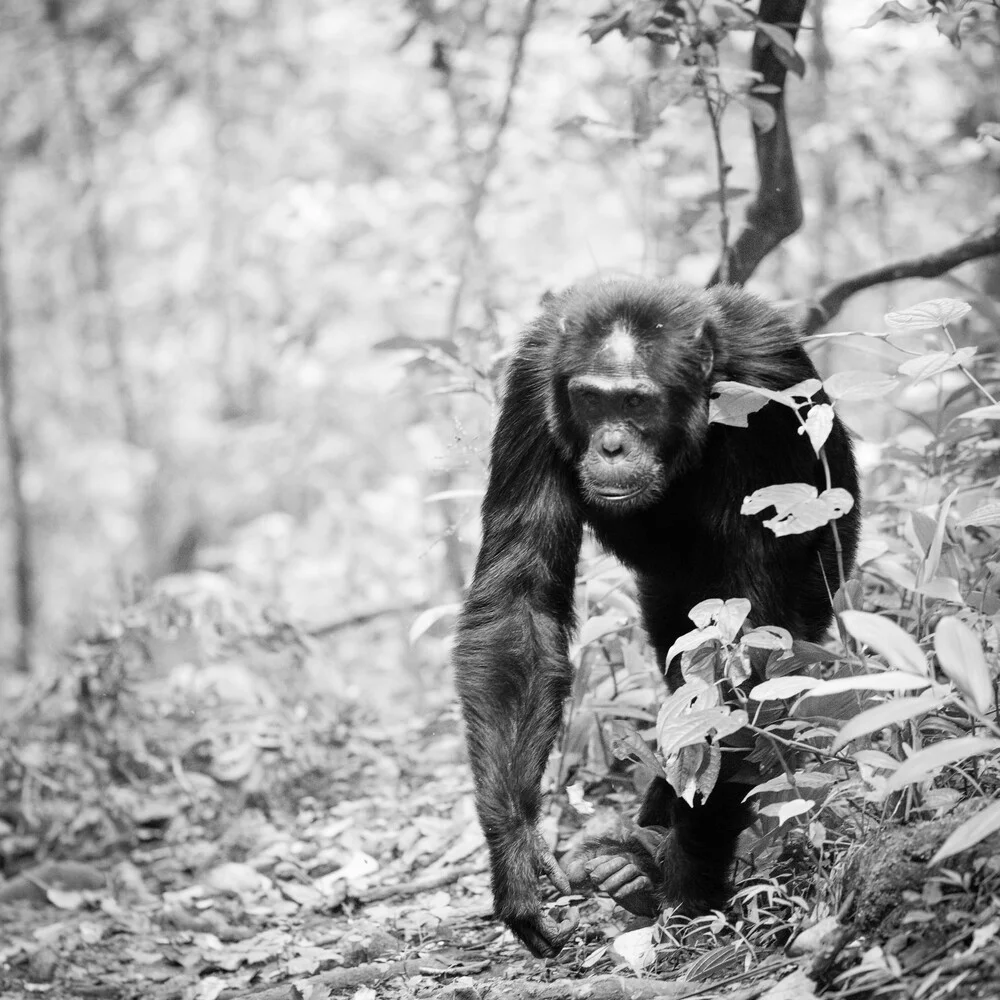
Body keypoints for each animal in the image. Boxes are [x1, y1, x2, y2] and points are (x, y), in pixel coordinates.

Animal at [454, 276, 860, 960]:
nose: (612, 443)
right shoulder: (532, 384)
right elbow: (520, 604)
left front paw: (690, 890)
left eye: (637, 403)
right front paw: (516, 857)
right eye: (591, 400)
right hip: (668, 597)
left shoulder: (769, 396)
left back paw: (645, 861)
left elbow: (742, 655)